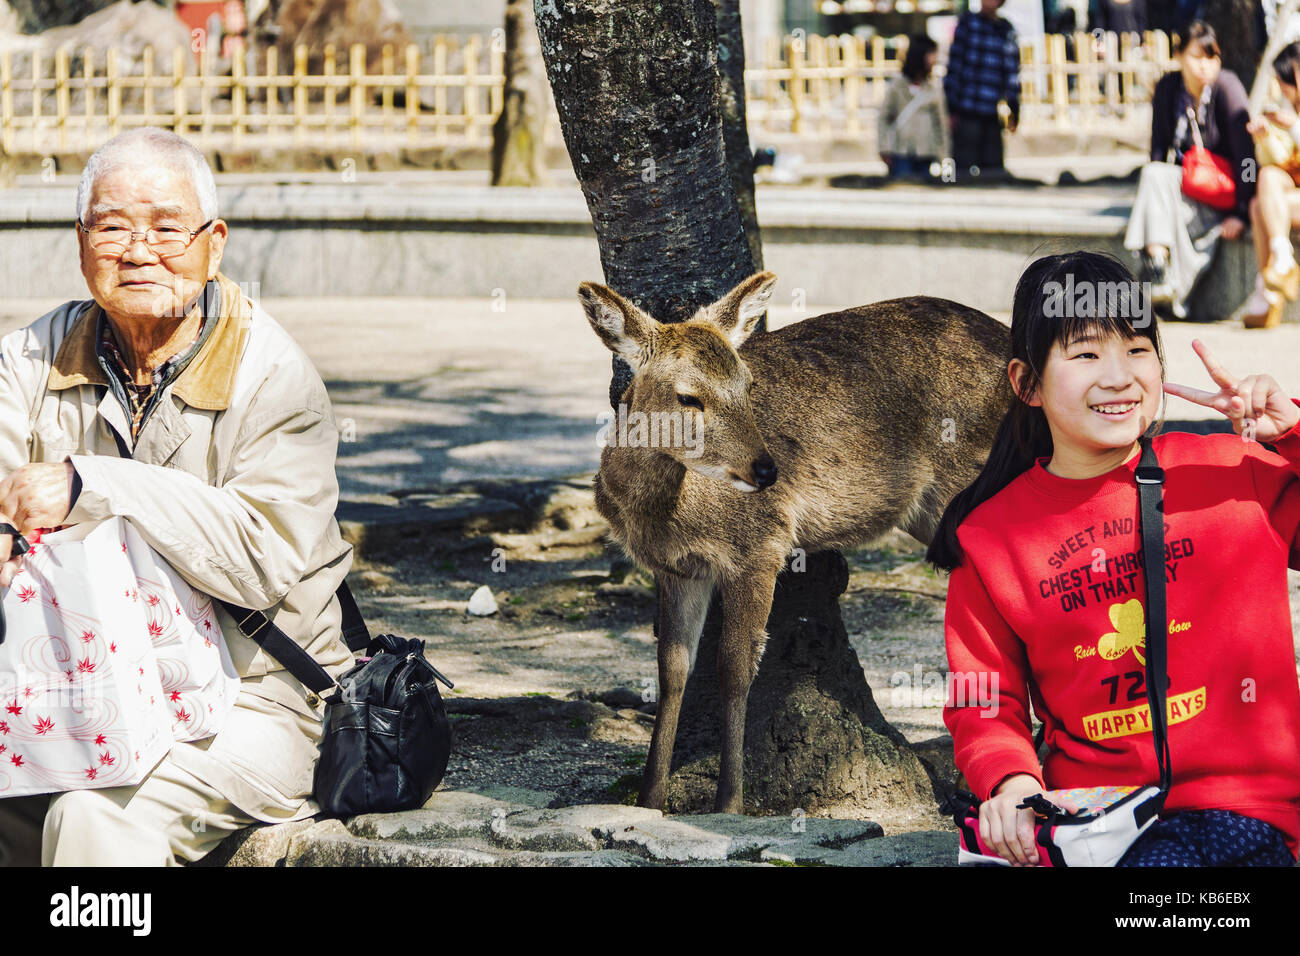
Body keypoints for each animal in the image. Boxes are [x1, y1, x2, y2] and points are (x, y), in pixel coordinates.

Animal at [579, 269, 1013, 816]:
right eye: (688, 396)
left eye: (748, 386)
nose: (767, 471)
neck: (663, 514)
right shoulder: (678, 569)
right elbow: (672, 670)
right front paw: (649, 799)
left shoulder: (759, 545)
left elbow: (734, 668)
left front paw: (730, 802)